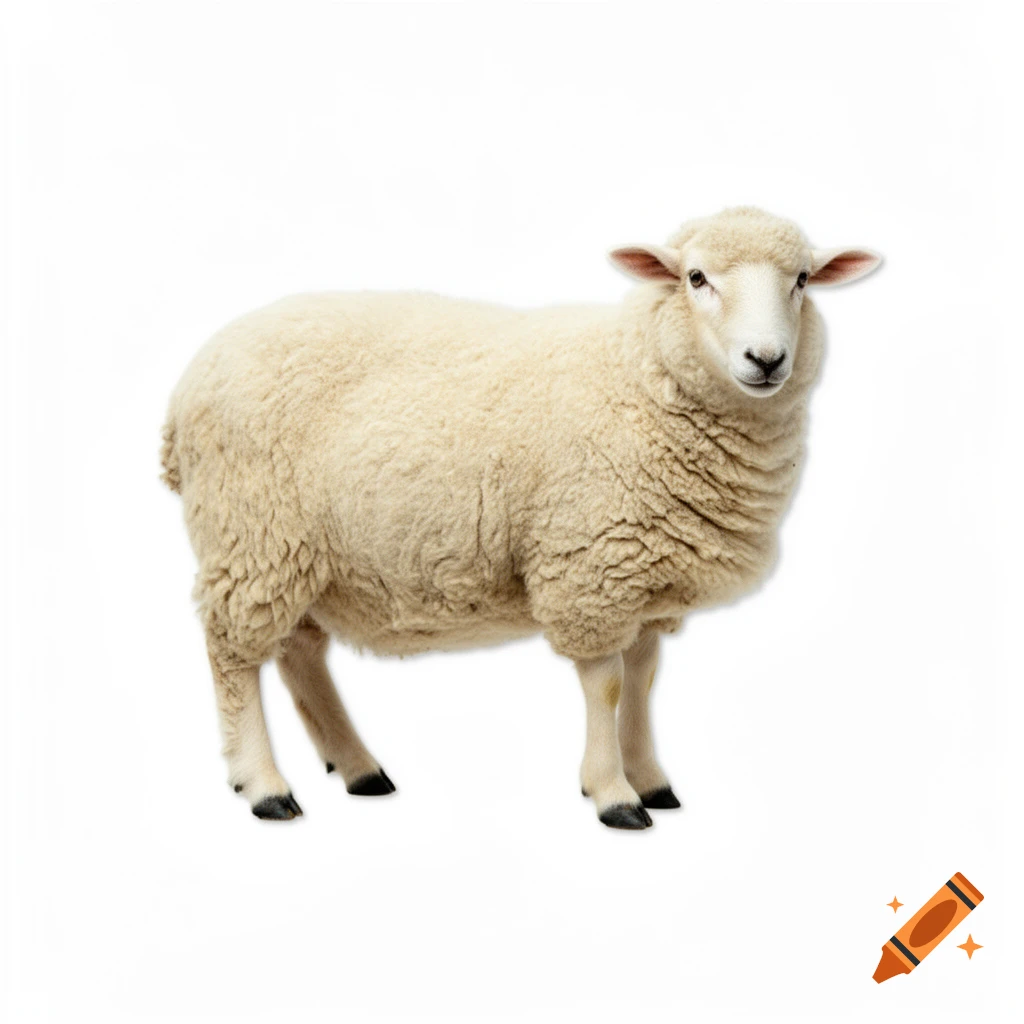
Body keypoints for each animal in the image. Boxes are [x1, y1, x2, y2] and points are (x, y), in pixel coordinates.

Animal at [160, 206, 880, 829]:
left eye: (802, 280)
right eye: (696, 278)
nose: (766, 359)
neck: (637, 374)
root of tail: (191, 379)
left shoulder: (644, 574)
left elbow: (643, 679)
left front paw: (650, 778)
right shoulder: (589, 566)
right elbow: (607, 684)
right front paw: (613, 794)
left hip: (302, 553)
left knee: (299, 650)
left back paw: (359, 767)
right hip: (251, 532)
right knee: (233, 653)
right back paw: (263, 784)